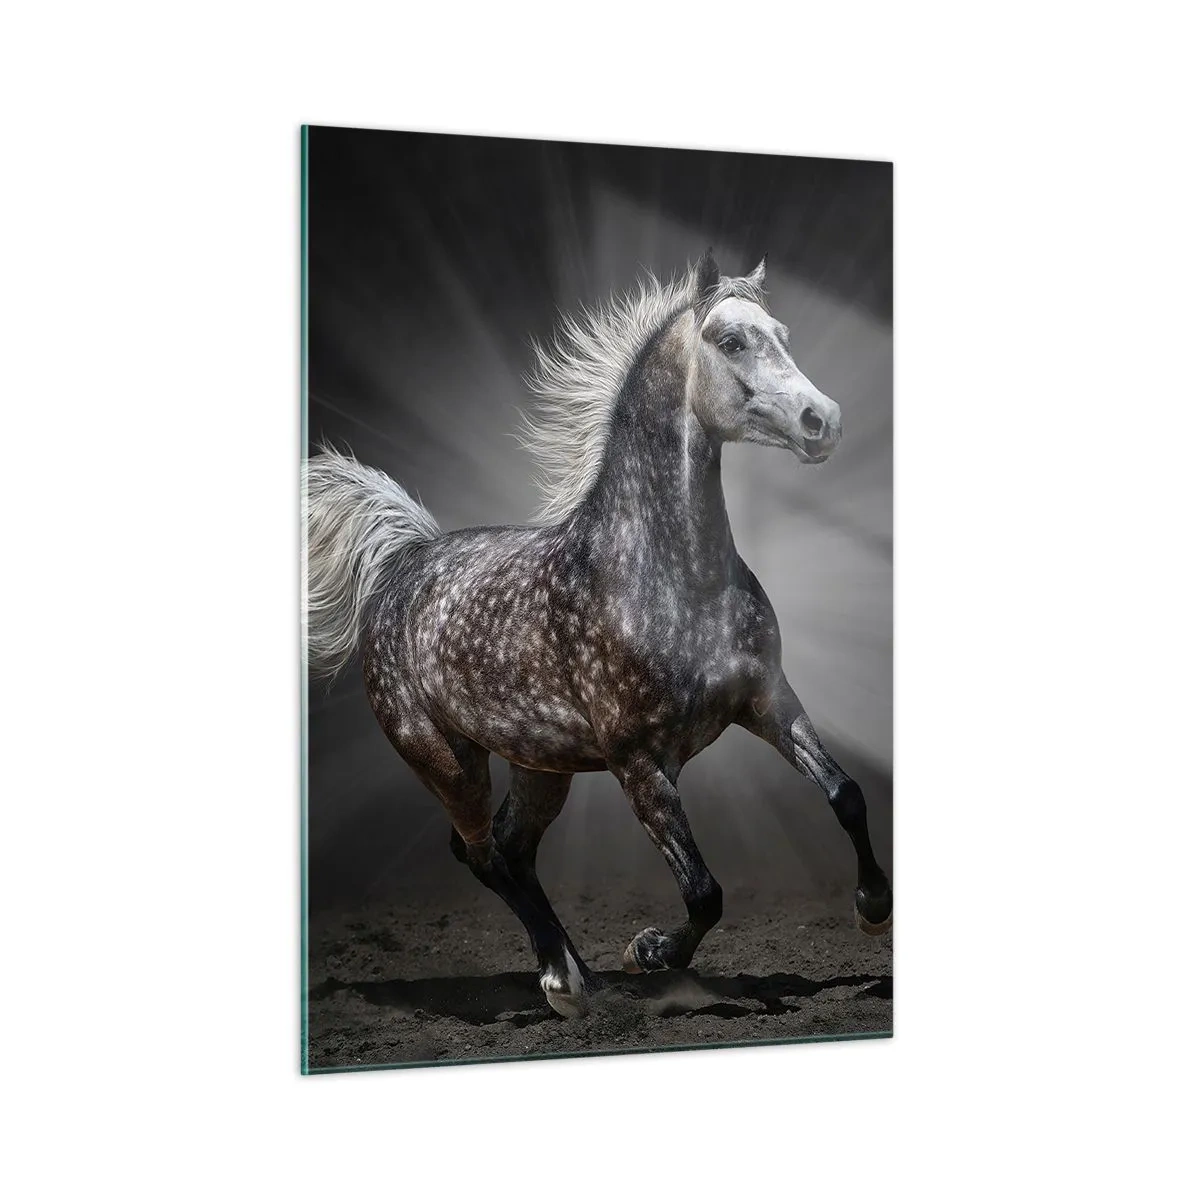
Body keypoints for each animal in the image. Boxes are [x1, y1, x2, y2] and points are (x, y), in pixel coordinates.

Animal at [305, 251, 893, 1018]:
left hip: (540, 765)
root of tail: (404, 561)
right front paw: (651, 951)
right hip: (445, 760)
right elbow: (704, 892)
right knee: (482, 852)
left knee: (510, 850)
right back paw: (566, 982)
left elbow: (846, 794)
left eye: (782, 334)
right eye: (731, 340)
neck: (669, 577)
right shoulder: (638, 763)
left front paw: (873, 909)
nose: (823, 421)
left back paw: (576, 971)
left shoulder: (769, 702)